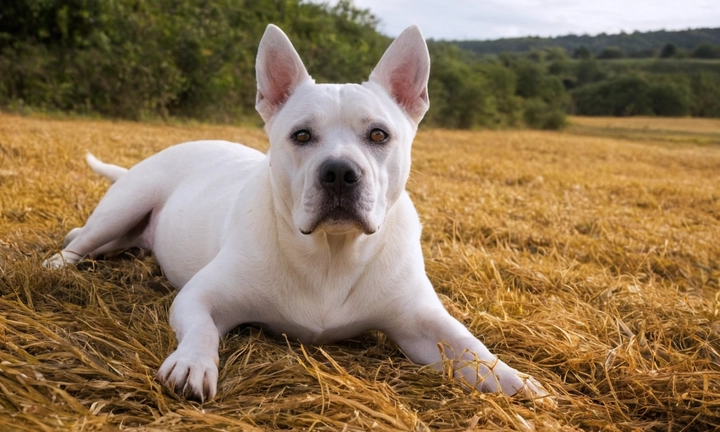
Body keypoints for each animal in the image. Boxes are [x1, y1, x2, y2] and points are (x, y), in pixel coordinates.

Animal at [46, 22, 552, 402]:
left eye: (379, 135)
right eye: (302, 135)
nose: (340, 172)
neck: (331, 251)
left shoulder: (422, 323)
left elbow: (469, 346)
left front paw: (515, 380)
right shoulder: (200, 297)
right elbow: (202, 330)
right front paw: (192, 364)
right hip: (126, 203)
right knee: (83, 241)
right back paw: (56, 264)